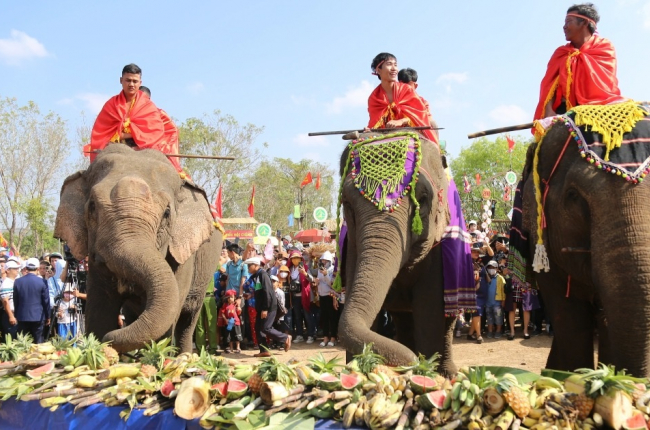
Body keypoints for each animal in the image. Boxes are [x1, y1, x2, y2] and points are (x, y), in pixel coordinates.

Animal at [53, 144, 220, 352]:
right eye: (92, 207)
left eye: (167, 213)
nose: (110, 338)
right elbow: (100, 309)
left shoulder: (183, 254)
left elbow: (171, 315)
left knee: (187, 320)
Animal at [334, 129, 460, 374]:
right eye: (347, 204)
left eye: (422, 199)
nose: (412, 362)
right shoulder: (352, 246)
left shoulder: (437, 250)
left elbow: (429, 311)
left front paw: (428, 372)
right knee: (402, 318)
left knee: (448, 319)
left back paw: (448, 372)